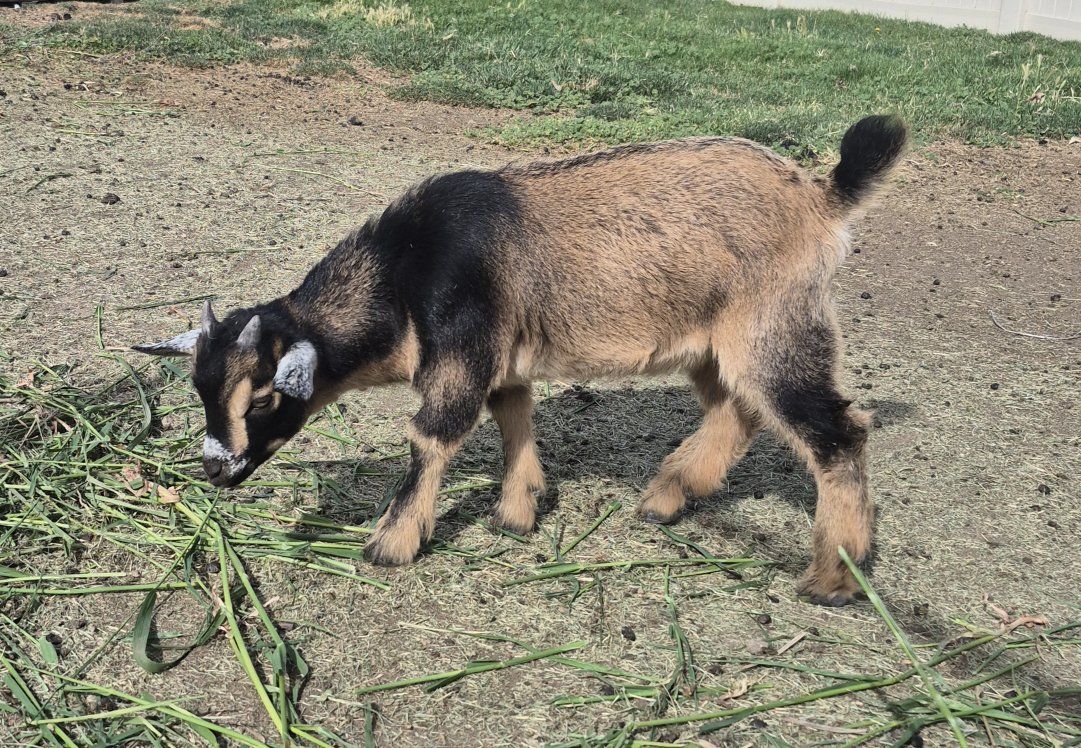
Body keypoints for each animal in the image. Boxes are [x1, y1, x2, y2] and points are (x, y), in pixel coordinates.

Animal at [135, 114, 907, 606]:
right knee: (737, 411)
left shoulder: (460, 350)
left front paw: (391, 544)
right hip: (716, 343)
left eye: (264, 395)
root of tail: (821, 197)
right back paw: (666, 497)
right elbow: (512, 415)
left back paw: (834, 579)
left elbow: (434, 435)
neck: (405, 269)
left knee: (836, 431)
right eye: (201, 391)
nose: (215, 470)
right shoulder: (500, 357)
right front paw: (518, 511)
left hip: (774, 326)